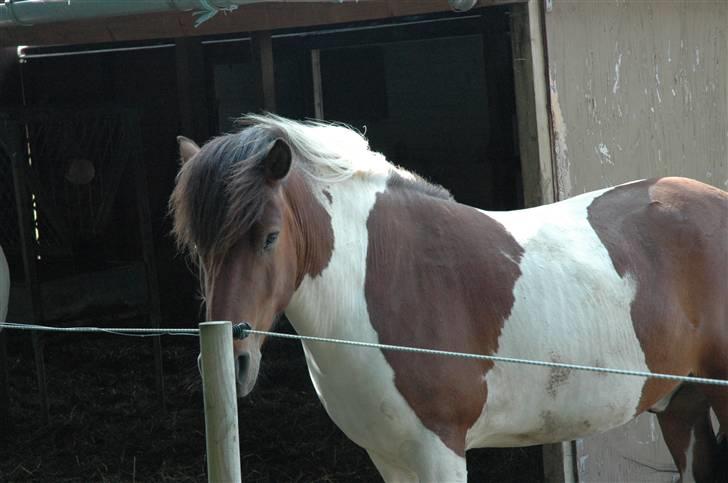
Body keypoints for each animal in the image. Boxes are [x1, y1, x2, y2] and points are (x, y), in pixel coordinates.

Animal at [172, 115, 728, 482]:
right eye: (197, 248)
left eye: (268, 237)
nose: (235, 362)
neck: (391, 277)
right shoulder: (389, 456)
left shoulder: (439, 448)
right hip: (683, 405)